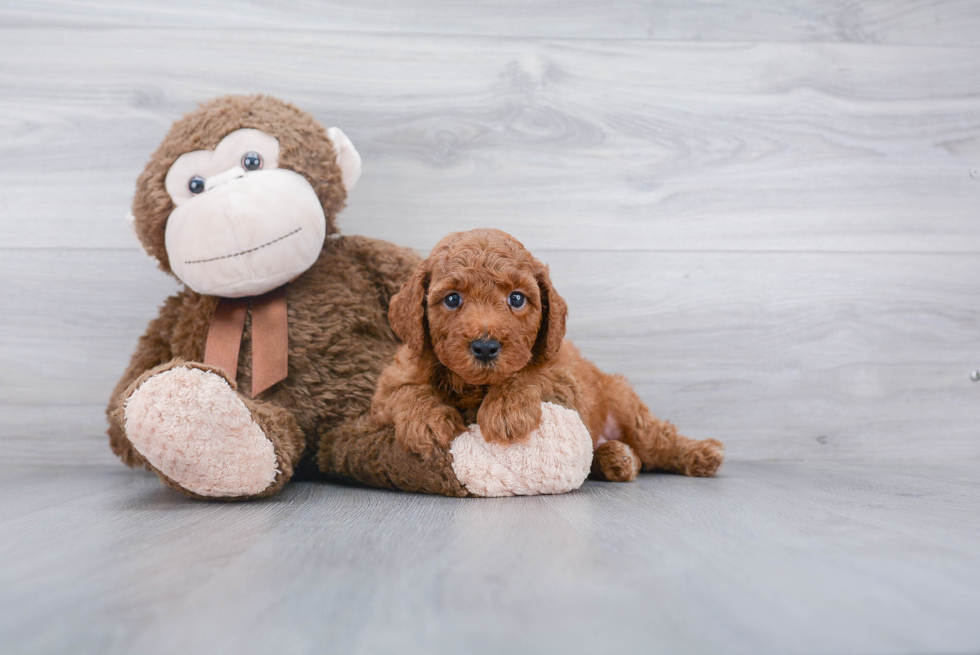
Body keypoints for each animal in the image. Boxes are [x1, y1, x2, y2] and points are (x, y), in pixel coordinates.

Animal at [372, 229, 724, 482]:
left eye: (516, 299)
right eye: (452, 299)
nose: (485, 346)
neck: (475, 386)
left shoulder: (565, 378)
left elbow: (531, 372)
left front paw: (506, 408)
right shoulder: (392, 381)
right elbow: (407, 390)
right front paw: (428, 422)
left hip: (627, 407)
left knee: (658, 440)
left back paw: (701, 453)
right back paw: (617, 458)